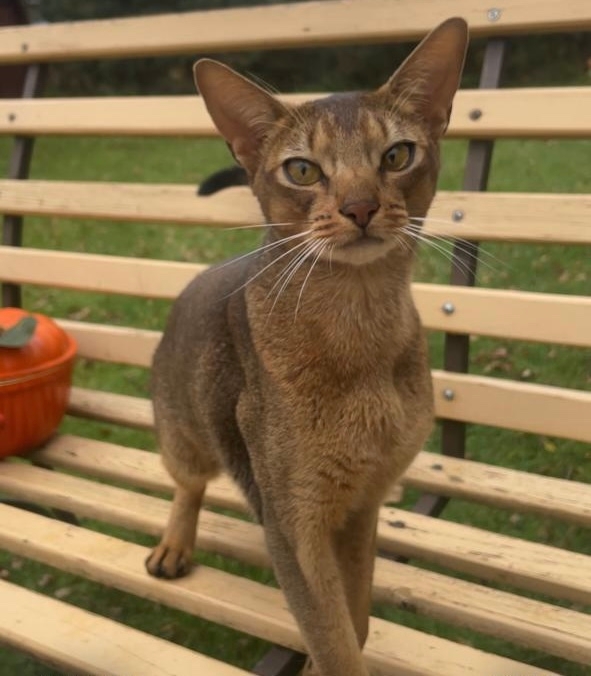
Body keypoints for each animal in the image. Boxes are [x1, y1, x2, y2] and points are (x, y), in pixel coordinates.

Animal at [146, 17, 468, 676]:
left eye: (396, 155)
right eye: (302, 170)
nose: (360, 207)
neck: (359, 330)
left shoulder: (362, 505)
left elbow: (356, 621)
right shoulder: (296, 522)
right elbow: (332, 636)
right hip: (183, 433)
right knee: (188, 485)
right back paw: (173, 544)